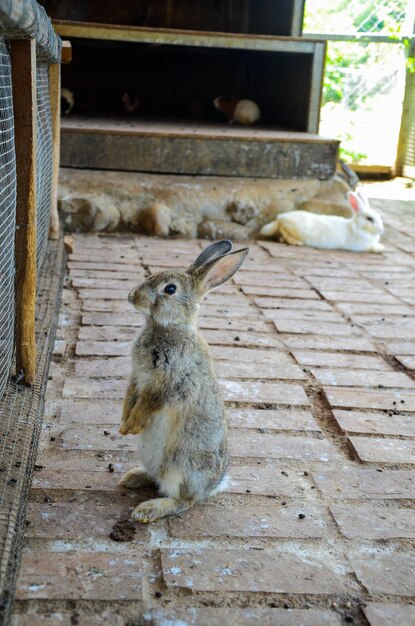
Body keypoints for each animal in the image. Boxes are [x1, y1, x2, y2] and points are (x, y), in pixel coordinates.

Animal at [120, 239, 250, 520]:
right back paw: (131, 478)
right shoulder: (136, 377)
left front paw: (133, 426)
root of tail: (213, 485)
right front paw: (123, 427)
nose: (132, 296)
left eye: (170, 289)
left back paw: (146, 510)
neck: (169, 328)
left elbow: (147, 403)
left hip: (180, 467)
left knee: (183, 501)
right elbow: (130, 398)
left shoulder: (168, 383)